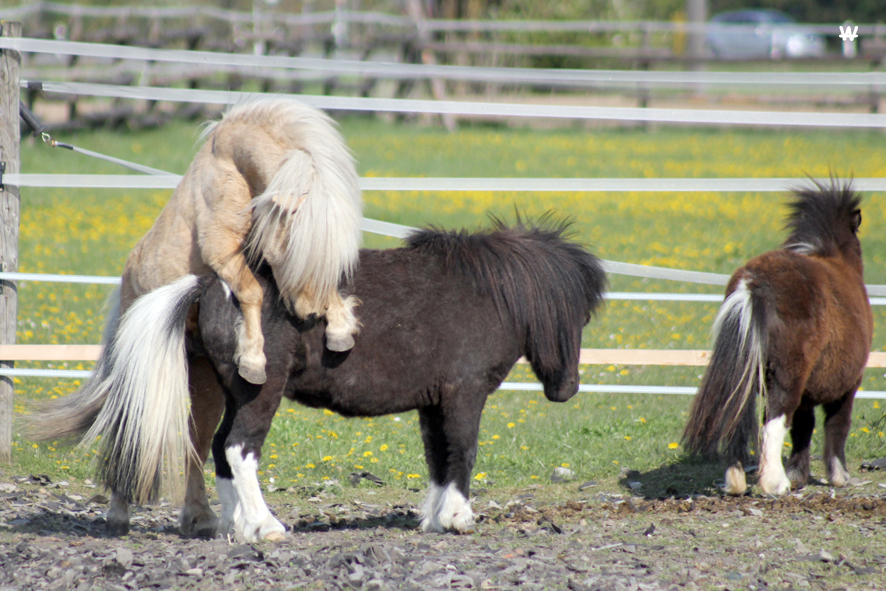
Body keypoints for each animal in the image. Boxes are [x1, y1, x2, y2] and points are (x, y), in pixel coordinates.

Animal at [28, 96, 360, 532]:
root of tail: (126, 286)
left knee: (196, 445)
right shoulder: (224, 253)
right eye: (292, 244)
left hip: (205, 383)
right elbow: (251, 292)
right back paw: (119, 513)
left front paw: (340, 329)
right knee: (131, 432)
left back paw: (200, 518)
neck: (233, 167)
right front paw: (253, 359)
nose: (307, 313)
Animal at [31, 219, 608, 540]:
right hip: (259, 395)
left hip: (233, 392)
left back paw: (238, 527)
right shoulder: (463, 396)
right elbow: (462, 453)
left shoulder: (432, 403)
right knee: (239, 449)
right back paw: (266, 529)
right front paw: (459, 519)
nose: (567, 389)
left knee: (219, 451)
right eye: (579, 316)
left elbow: (438, 458)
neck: (484, 294)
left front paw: (433, 518)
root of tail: (209, 285)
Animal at [684, 183, 872, 498]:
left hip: (748, 375)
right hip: (787, 378)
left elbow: (803, 428)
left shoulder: (809, 391)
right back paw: (775, 483)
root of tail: (754, 284)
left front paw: (799, 474)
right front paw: (838, 476)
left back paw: (736, 482)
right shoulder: (848, 384)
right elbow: (835, 426)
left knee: (738, 418)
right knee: (774, 423)